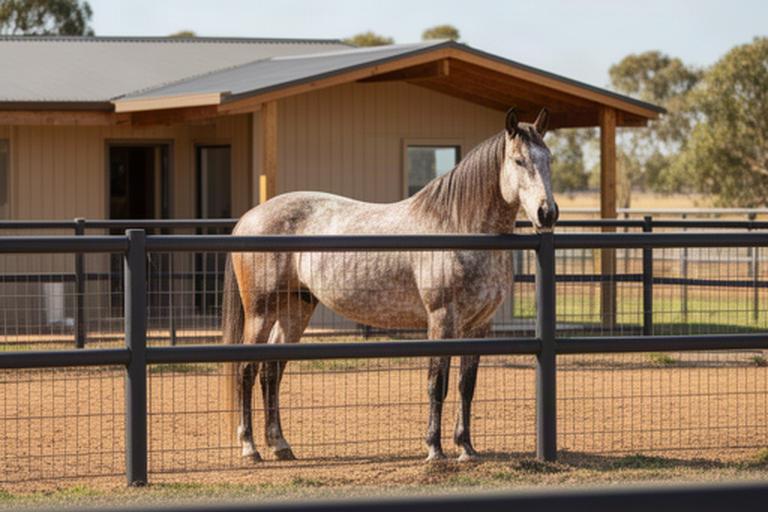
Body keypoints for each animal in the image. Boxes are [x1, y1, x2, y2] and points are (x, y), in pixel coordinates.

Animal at [222, 108, 558, 463]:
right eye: (519, 160)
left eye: (548, 159)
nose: (547, 213)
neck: (457, 226)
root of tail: (249, 218)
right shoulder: (441, 319)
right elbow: (437, 382)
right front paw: (434, 449)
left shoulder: (480, 325)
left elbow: (466, 385)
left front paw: (466, 448)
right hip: (260, 312)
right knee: (246, 369)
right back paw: (250, 448)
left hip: (295, 308)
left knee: (271, 370)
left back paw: (280, 444)